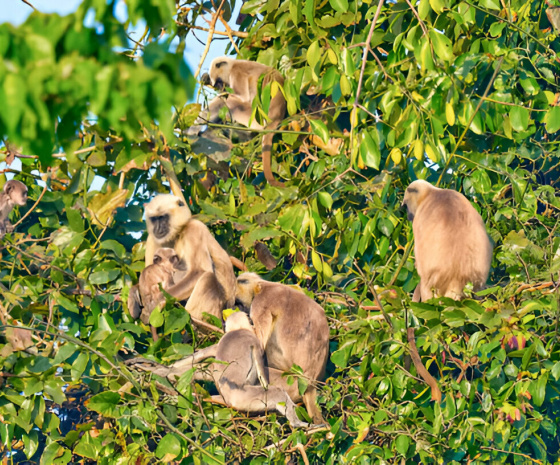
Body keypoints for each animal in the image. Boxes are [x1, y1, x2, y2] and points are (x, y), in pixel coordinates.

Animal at [127, 312, 308, 428]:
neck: (237, 331)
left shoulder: (217, 344)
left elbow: (197, 358)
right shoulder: (254, 342)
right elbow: (263, 374)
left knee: (199, 368)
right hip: (244, 397)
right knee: (276, 393)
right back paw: (297, 423)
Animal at [192, 57, 288, 188]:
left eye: (219, 82)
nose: (220, 86)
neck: (234, 64)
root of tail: (276, 119)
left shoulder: (237, 73)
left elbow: (241, 97)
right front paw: (205, 78)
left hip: (252, 119)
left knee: (227, 101)